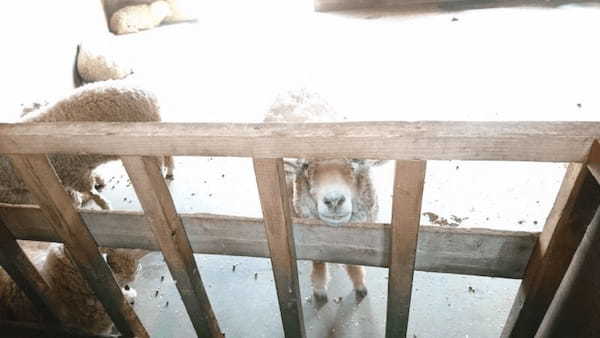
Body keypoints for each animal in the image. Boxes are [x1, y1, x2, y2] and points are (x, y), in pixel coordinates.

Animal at [1, 80, 176, 210]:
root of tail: (148, 94)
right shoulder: (75, 174)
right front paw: (98, 185)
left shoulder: (75, 175)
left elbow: (90, 192)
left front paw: (104, 206)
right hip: (156, 126)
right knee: (168, 155)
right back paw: (169, 171)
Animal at [264, 89, 386, 302]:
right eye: (305, 166)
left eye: (355, 163)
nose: (334, 200)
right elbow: (318, 260)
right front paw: (320, 287)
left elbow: (353, 262)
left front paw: (359, 283)